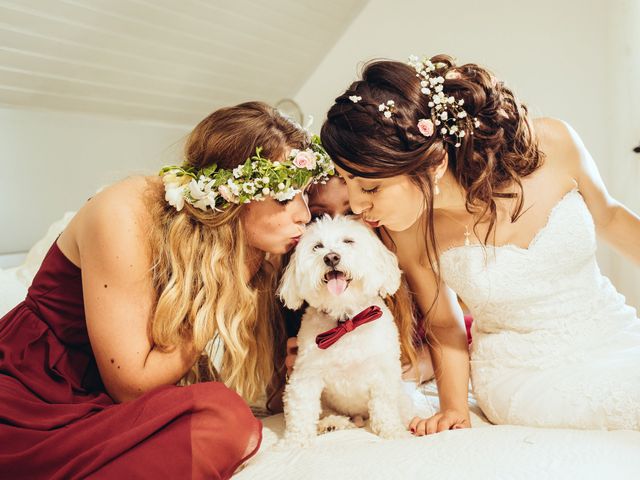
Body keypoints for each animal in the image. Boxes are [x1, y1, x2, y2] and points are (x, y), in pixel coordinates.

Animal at [278, 215, 432, 446]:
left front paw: (394, 432)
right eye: (317, 247)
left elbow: (385, 407)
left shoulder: (384, 374)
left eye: (348, 241)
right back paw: (332, 423)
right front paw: (294, 442)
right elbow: (301, 410)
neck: (346, 322)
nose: (331, 257)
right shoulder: (306, 375)